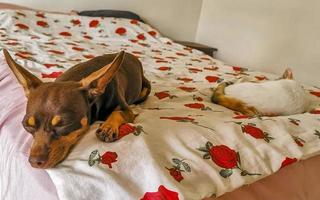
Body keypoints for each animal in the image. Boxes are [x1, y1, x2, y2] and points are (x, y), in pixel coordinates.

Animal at [3, 49, 151, 168]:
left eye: (64, 124)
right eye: (26, 125)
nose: (34, 162)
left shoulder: (127, 111)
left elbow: (117, 113)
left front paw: (108, 127)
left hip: (145, 90)